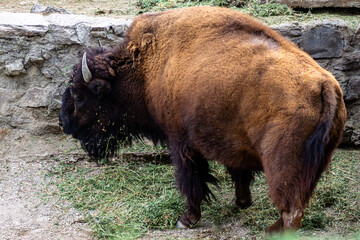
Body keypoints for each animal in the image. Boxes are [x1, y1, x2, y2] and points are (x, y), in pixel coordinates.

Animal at [59, 7, 346, 232]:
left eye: (79, 94)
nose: (64, 123)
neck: (144, 67)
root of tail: (324, 85)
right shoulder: (233, 142)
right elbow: (239, 174)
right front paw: (242, 202)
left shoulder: (181, 142)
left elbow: (191, 181)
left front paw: (186, 219)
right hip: (316, 162)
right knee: (297, 204)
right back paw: (271, 227)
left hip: (282, 165)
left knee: (291, 210)